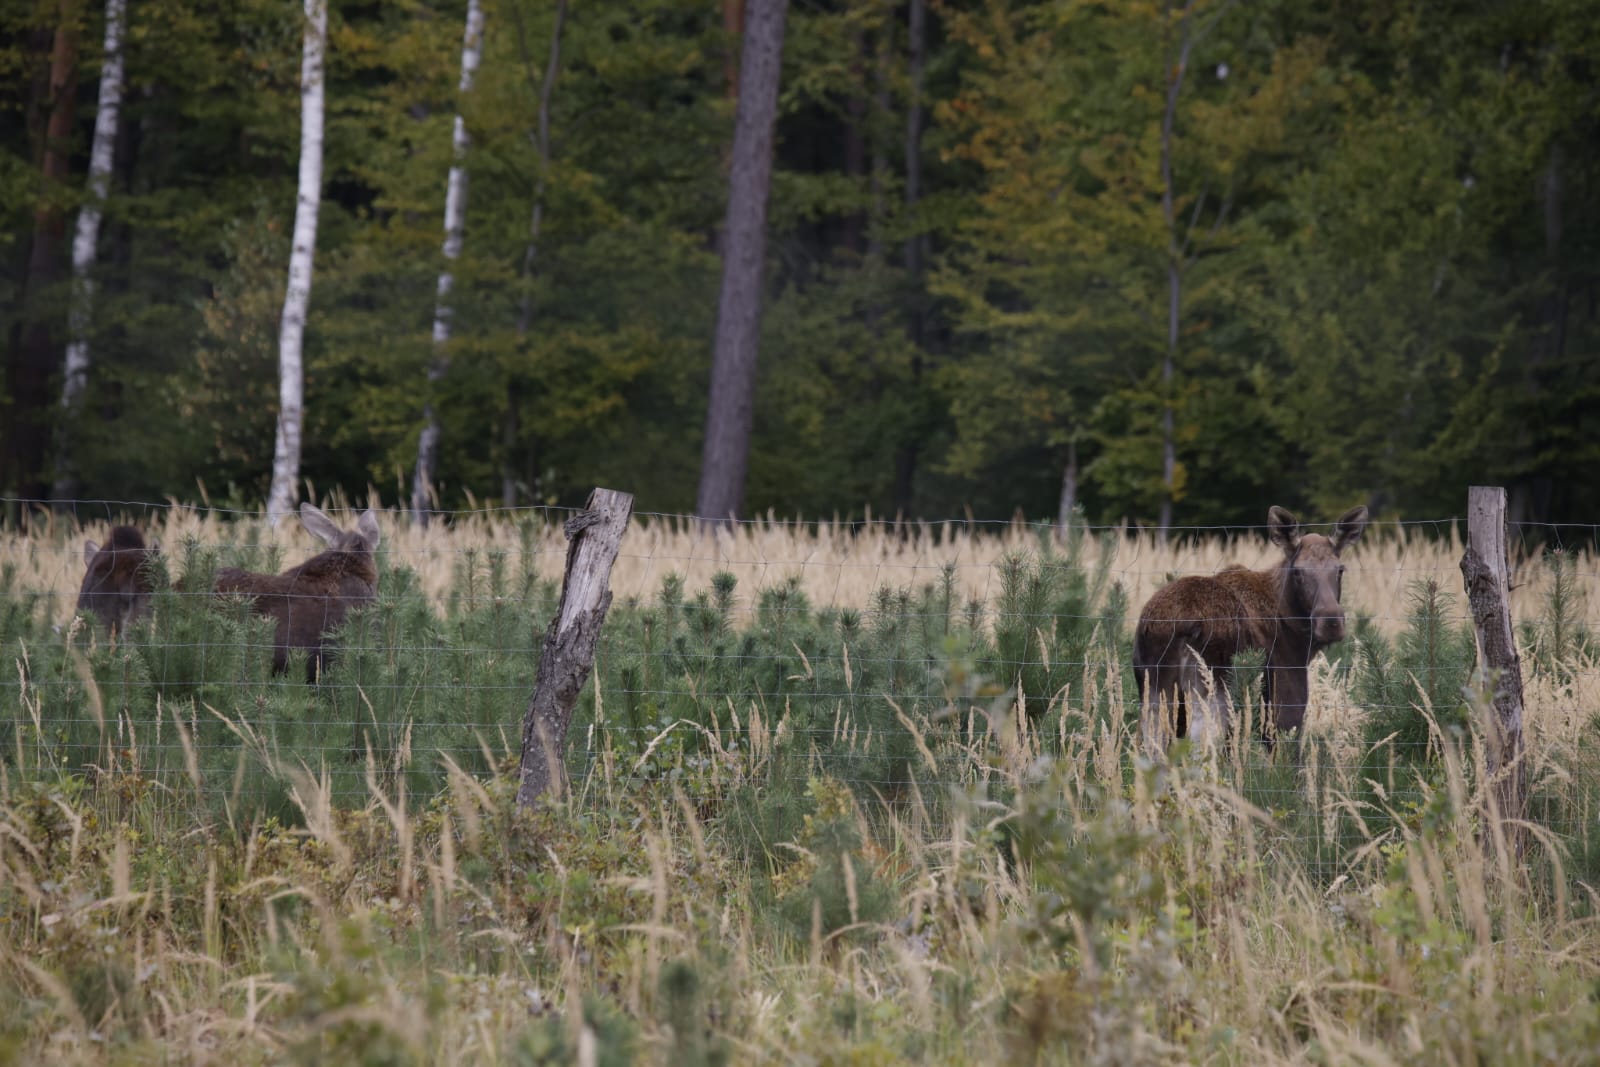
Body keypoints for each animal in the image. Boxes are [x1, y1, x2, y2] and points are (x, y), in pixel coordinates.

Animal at [1132, 508, 1369, 751]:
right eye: (1297, 572)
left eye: (1340, 570)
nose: (1331, 621)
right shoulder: (1285, 706)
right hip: (1211, 691)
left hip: (1155, 692)